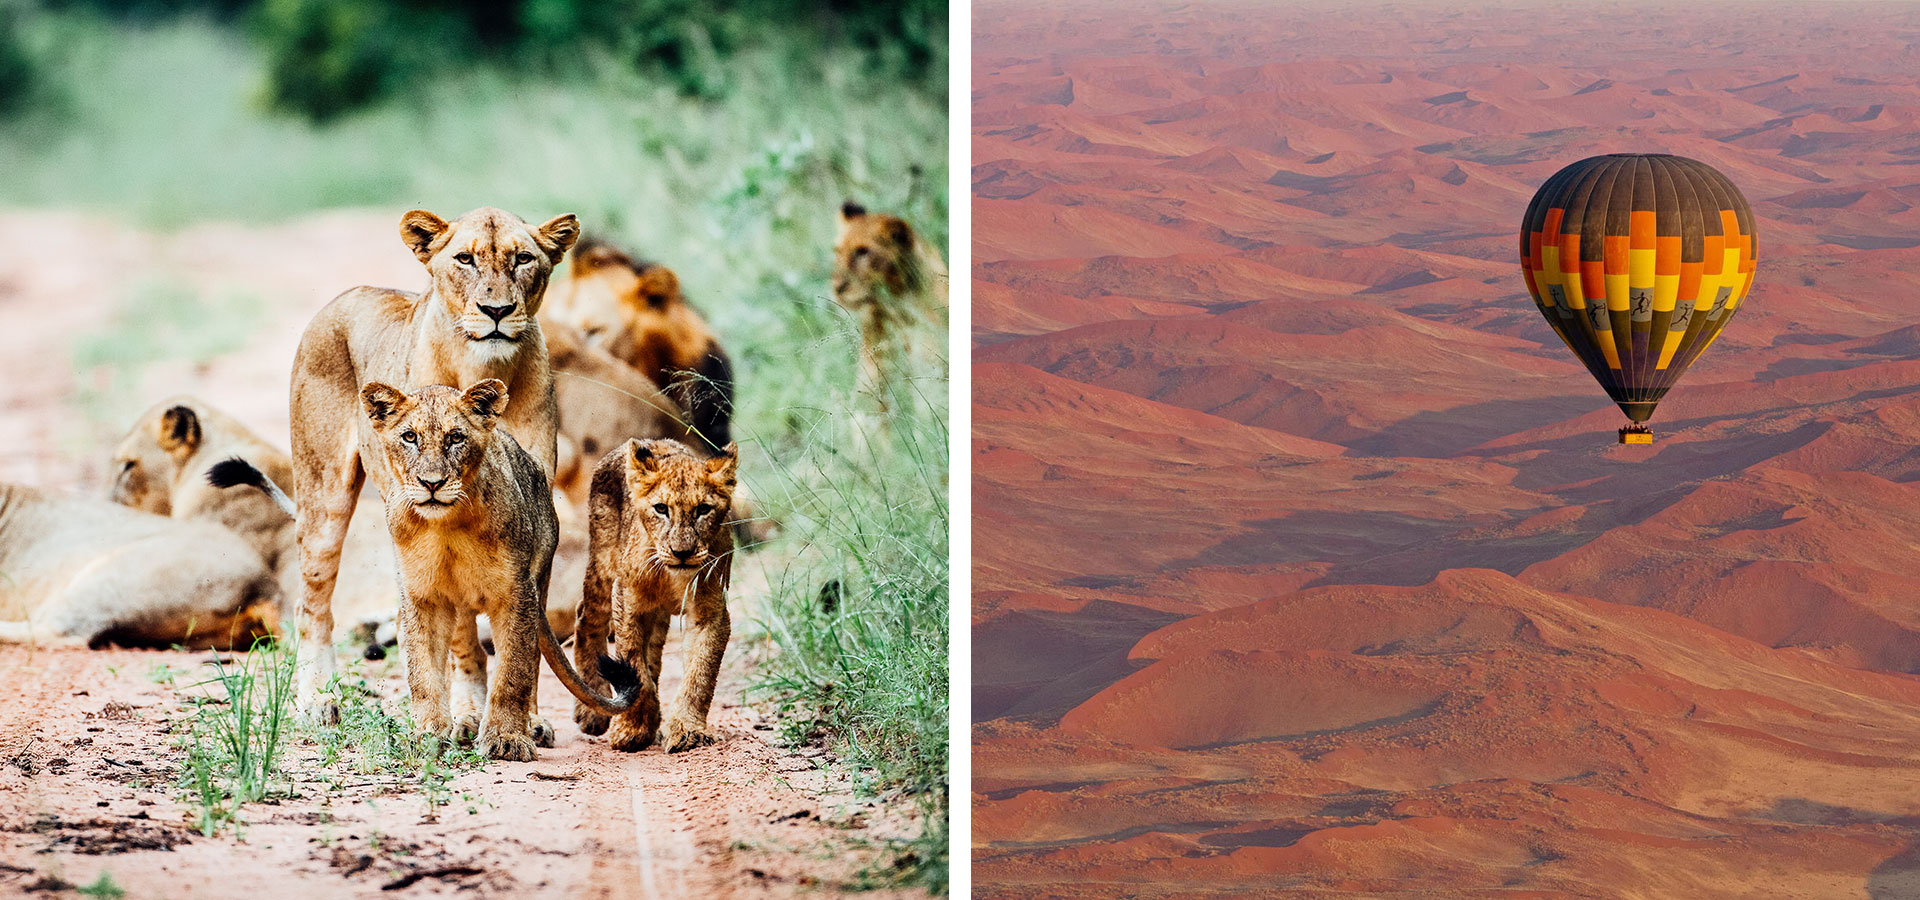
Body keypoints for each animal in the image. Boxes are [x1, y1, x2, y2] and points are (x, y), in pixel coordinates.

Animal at [214, 379, 638, 760]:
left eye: (455, 438)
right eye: (409, 437)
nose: (431, 483)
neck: (447, 527)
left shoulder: (517, 595)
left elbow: (514, 670)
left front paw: (506, 740)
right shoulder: (422, 598)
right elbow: (424, 674)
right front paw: (428, 737)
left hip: (541, 574)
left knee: (527, 659)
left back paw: (523, 723)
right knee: (468, 654)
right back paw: (466, 720)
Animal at [284, 206, 577, 723]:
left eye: (523, 259)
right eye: (465, 259)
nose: (497, 311)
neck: (485, 367)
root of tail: (344, 297)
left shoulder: (536, 512)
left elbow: (530, 639)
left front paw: (530, 719)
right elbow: (459, 628)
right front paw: (466, 712)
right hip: (323, 501)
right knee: (312, 605)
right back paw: (318, 698)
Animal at [573, 438, 736, 753]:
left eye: (703, 509)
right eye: (661, 508)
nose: (682, 552)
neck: (672, 576)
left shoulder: (711, 612)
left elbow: (699, 675)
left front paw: (687, 731)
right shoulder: (627, 600)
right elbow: (636, 668)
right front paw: (633, 730)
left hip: (657, 615)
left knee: (654, 654)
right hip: (603, 567)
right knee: (585, 619)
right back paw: (592, 712)